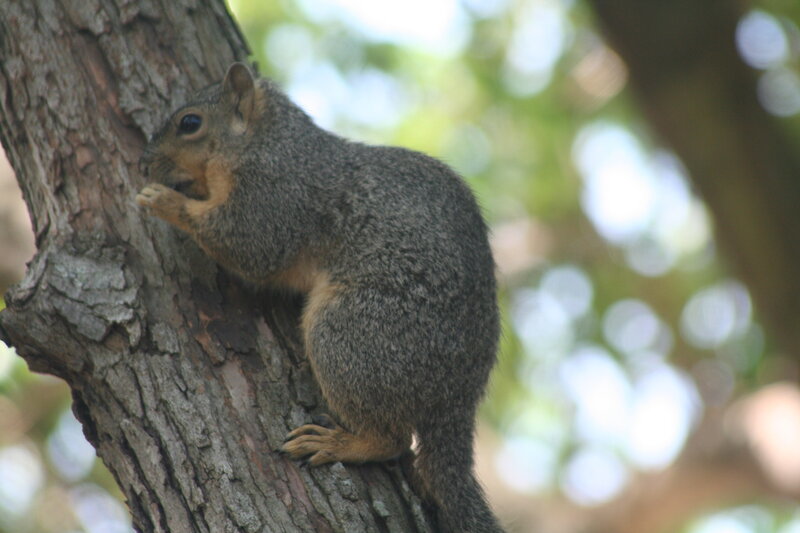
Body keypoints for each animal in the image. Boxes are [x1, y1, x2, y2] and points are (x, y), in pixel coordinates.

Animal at [136, 62, 504, 533]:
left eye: (189, 123)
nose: (144, 163)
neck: (269, 141)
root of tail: (458, 395)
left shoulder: (276, 196)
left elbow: (247, 244)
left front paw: (165, 201)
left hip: (354, 334)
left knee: (393, 439)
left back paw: (340, 443)